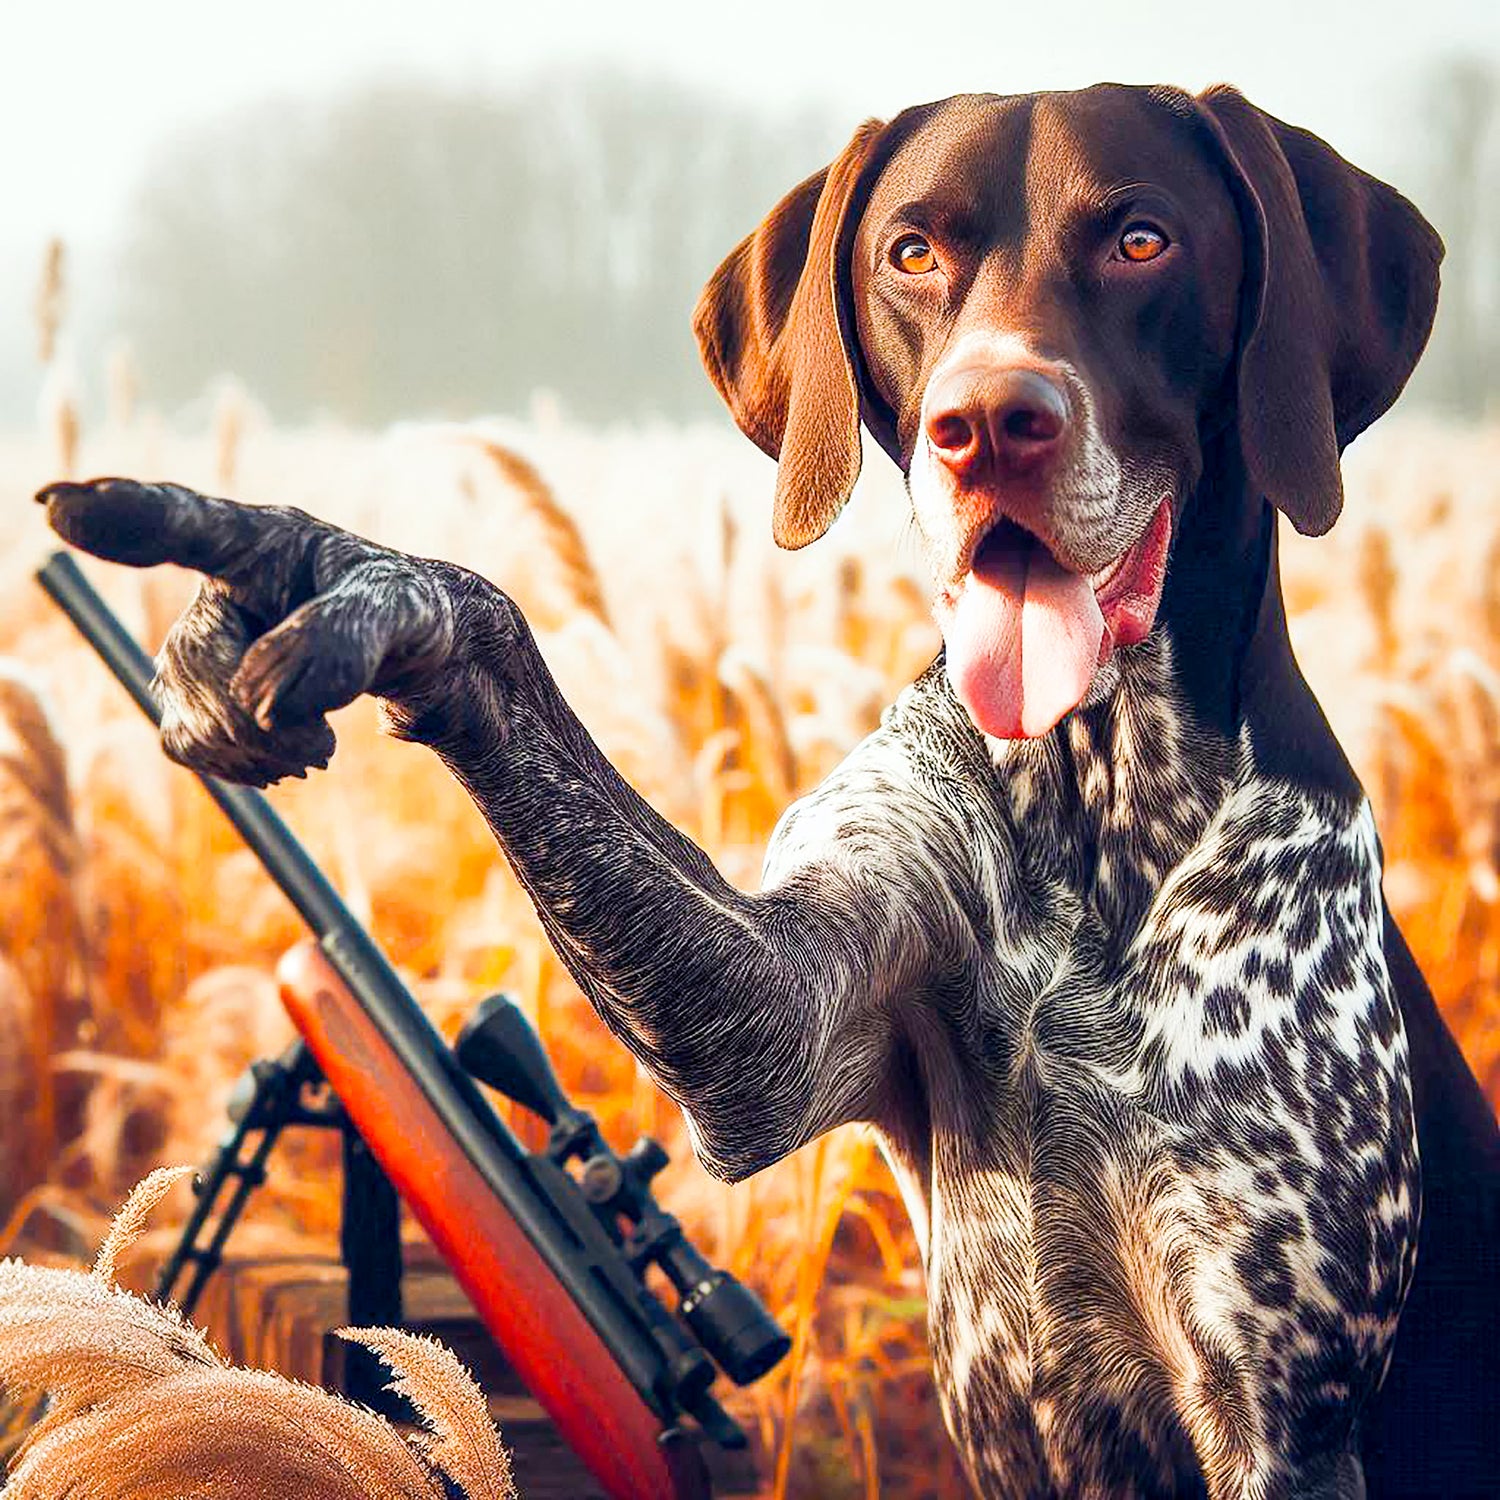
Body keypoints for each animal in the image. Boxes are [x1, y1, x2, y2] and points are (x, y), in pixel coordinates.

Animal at [41, 85, 1500, 1500]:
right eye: (912, 254)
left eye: (1144, 240)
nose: (986, 427)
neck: (1091, 797)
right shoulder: (773, 1019)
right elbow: (478, 626)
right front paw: (320, 567)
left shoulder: (1279, 1417)